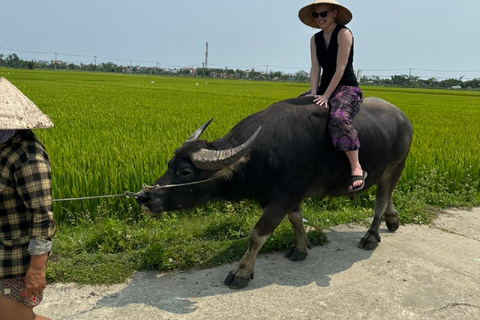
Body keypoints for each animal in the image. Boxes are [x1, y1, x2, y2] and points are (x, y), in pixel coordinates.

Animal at [134, 96, 412, 288]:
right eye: (169, 164)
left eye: (185, 172)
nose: (142, 197)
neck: (259, 157)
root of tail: (404, 117)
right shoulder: (291, 196)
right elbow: (296, 220)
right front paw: (301, 248)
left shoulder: (282, 198)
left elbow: (257, 235)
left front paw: (241, 272)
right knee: (388, 196)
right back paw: (392, 219)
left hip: (396, 166)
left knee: (381, 199)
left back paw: (371, 236)